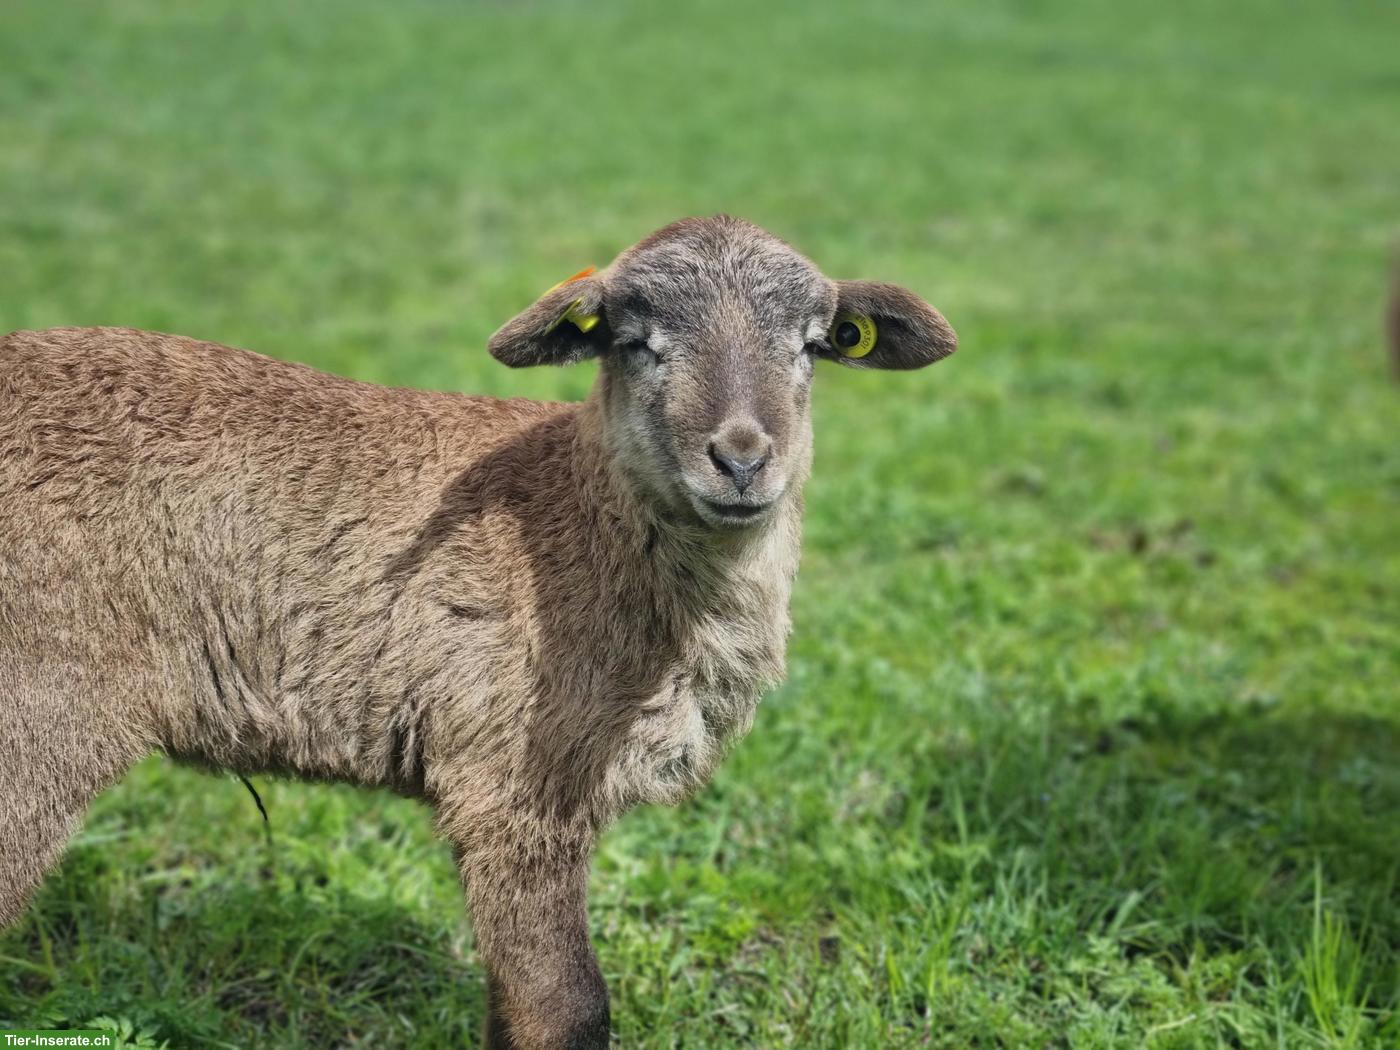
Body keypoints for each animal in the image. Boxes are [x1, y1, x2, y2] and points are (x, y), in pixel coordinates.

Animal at [0, 215, 956, 1049]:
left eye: (814, 342)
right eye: (633, 340)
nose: (743, 459)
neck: (581, 522)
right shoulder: (511, 785)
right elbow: (566, 1010)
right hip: (42, 715)